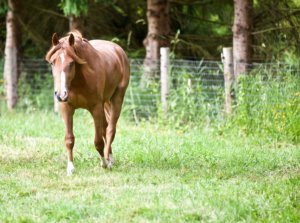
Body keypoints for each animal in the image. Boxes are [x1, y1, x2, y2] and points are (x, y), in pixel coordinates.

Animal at [45, 31, 129, 174]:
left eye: (71, 63)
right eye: (52, 63)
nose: (61, 94)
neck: (79, 81)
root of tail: (118, 50)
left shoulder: (96, 108)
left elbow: (98, 141)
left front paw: (104, 163)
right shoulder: (66, 108)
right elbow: (69, 139)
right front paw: (70, 168)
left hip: (117, 98)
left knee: (110, 130)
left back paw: (109, 160)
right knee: (105, 128)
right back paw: (110, 158)